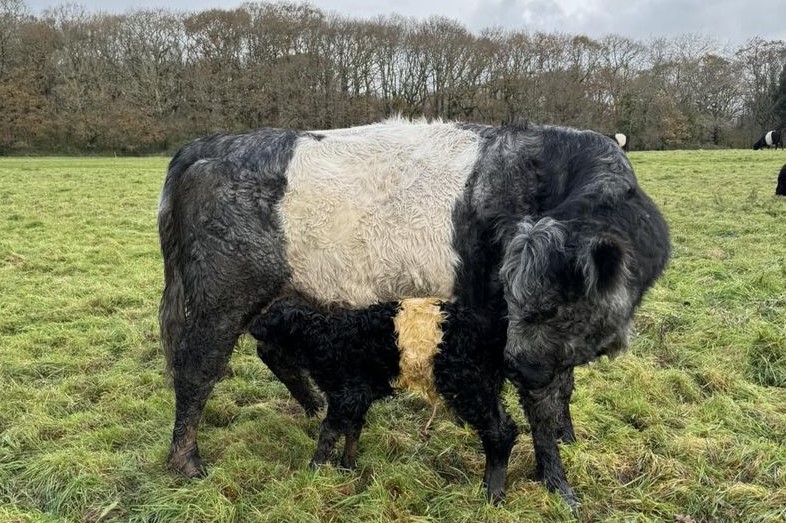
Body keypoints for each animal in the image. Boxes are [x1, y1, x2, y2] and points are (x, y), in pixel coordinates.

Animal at [158, 117, 670, 506]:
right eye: (518, 298)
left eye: (556, 303)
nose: (515, 364)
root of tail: (201, 147)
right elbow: (541, 405)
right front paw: (559, 487)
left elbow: (562, 389)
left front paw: (567, 438)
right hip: (219, 296)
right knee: (196, 367)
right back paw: (186, 463)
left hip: (284, 297)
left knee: (272, 350)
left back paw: (315, 406)